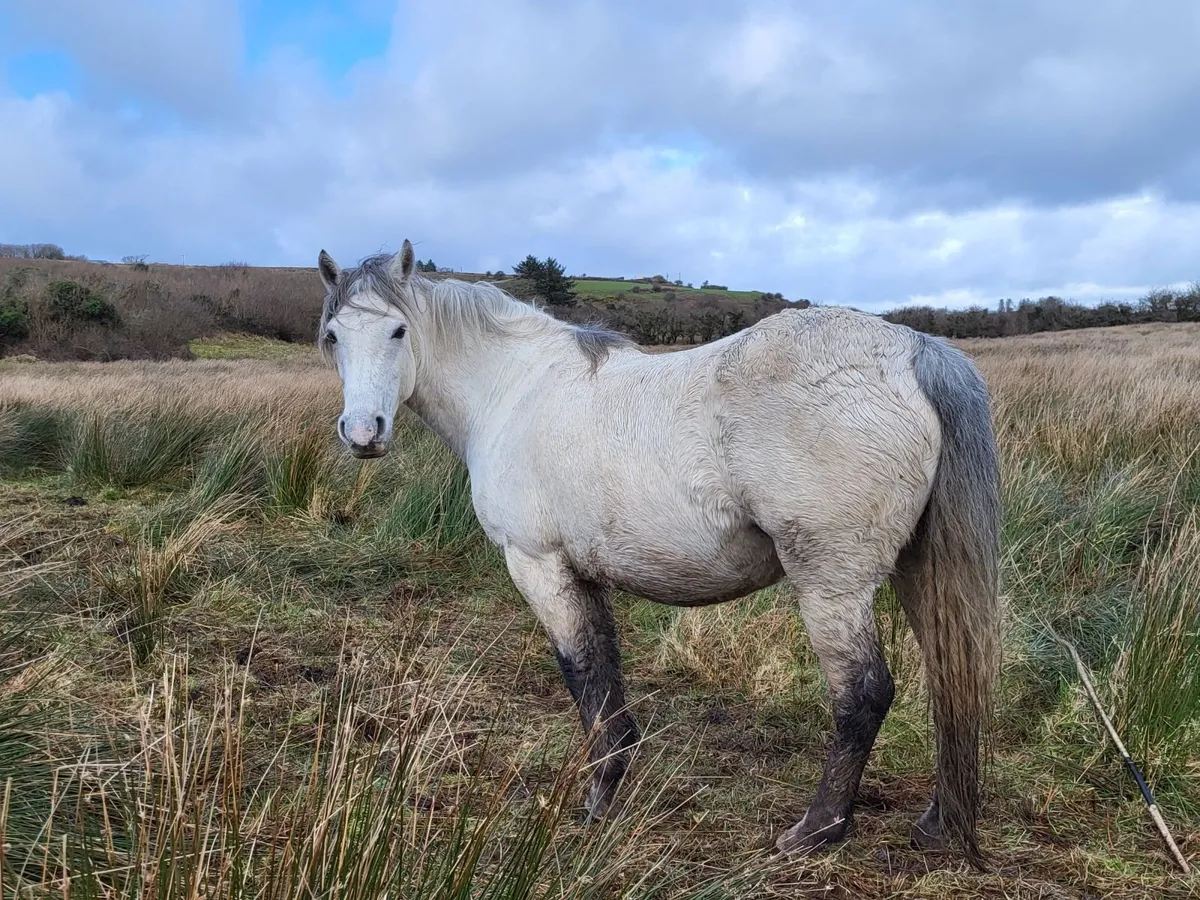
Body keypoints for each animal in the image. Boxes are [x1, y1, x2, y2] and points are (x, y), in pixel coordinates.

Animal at [313, 239, 1001, 869]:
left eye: (399, 329)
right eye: (333, 337)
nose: (363, 433)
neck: (513, 390)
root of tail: (912, 350)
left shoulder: (538, 564)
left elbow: (581, 672)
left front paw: (597, 799)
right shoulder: (585, 572)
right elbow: (603, 671)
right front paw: (615, 774)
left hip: (832, 586)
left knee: (864, 696)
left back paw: (816, 830)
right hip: (915, 573)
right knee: (949, 679)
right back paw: (937, 824)